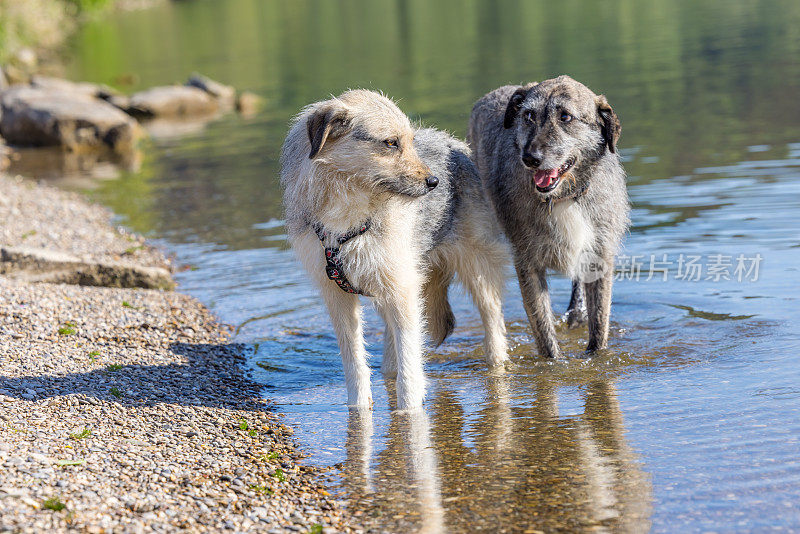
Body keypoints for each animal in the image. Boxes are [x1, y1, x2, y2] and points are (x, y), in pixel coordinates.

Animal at [278, 91, 510, 410]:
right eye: (391, 143)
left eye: (411, 141)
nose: (434, 182)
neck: (349, 215)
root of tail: (456, 145)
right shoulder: (338, 295)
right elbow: (355, 361)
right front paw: (359, 409)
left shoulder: (403, 289)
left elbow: (411, 361)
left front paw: (410, 411)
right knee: (391, 346)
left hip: (476, 268)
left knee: (493, 322)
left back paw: (497, 363)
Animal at [468, 75, 632, 360]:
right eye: (528, 116)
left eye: (565, 116)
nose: (530, 158)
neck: (565, 197)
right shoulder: (528, 264)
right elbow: (544, 332)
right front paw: (555, 361)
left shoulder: (600, 256)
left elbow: (599, 328)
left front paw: (595, 358)